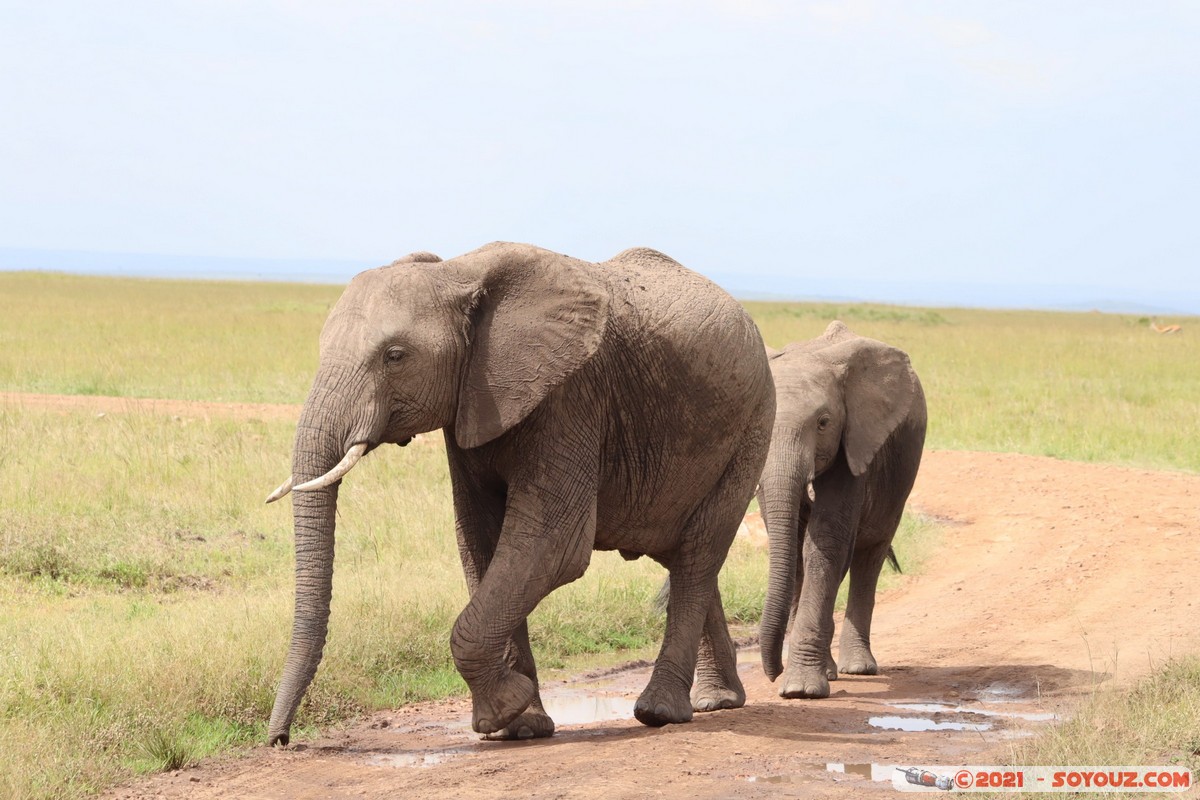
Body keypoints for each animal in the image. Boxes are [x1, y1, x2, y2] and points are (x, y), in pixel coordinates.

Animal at [262, 242, 772, 743]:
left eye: (395, 355)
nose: (281, 740)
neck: (457, 273)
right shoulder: (473, 403)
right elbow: (482, 542)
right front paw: (520, 726)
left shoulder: (570, 395)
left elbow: (551, 545)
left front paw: (503, 712)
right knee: (687, 556)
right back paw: (717, 701)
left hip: (751, 427)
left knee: (697, 554)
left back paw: (660, 711)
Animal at [758, 321, 926, 695]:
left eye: (823, 423)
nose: (773, 673)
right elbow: (796, 546)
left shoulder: (854, 440)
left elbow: (826, 541)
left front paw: (800, 690)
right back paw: (833, 669)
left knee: (869, 555)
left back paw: (858, 667)